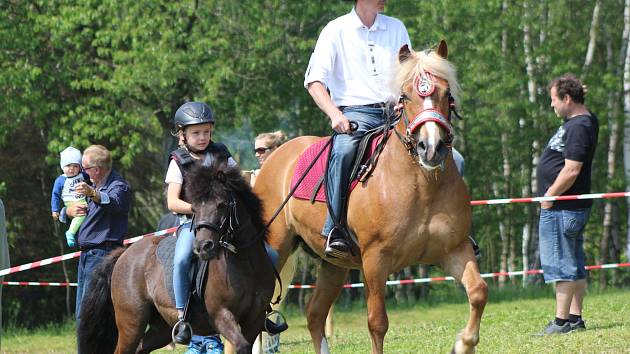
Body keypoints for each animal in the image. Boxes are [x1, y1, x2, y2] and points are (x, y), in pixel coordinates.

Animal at [78, 162, 276, 354]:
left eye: (222, 204)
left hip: (162, 328)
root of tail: (124, 254)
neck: (246, 264)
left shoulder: (254, 320)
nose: (203, 246)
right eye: (194, 208)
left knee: (141, 348)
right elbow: (241, 345)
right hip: (131, 324)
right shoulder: (221, 315)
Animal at [254, 40, 492, 352]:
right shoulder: (375, 260)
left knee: (315, 314)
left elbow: (478, 291)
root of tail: (273, 161)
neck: (422, 188)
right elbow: (377, 323)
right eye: (405, 96)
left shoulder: (454, 249)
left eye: (447, 94)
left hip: (334, 265)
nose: (431, 148)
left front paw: (464, 342)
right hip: (277, 248)